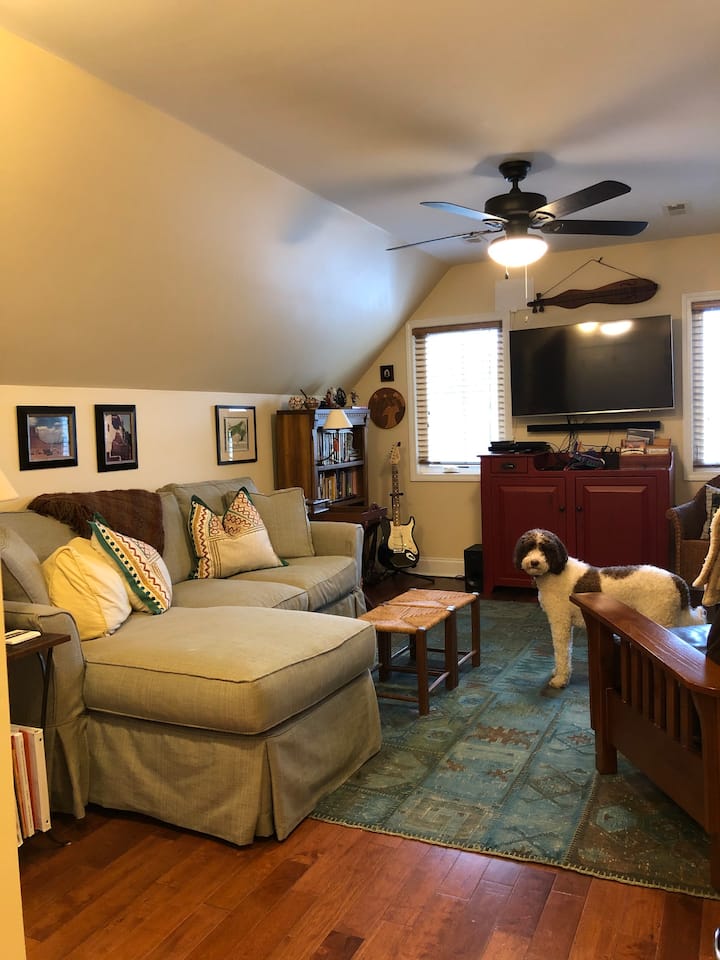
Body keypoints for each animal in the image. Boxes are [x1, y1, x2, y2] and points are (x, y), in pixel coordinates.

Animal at [513, 528, 706, 688]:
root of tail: (677, 580)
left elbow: (562, 651)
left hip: (660, 621)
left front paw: (560, 679)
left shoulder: (561, 622)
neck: (556, 572)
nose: (534, 562)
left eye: (546, 549)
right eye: (528, 547)